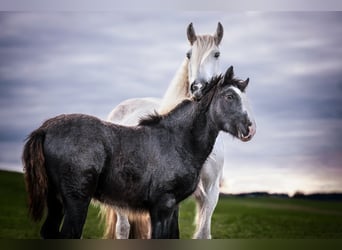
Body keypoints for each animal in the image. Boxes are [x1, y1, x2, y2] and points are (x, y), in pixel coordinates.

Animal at [102, 22, 224, 239]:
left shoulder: (210, 192)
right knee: (123, 229)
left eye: (216, 54)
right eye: (188, 54)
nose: (198, 88)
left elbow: (202, 234)